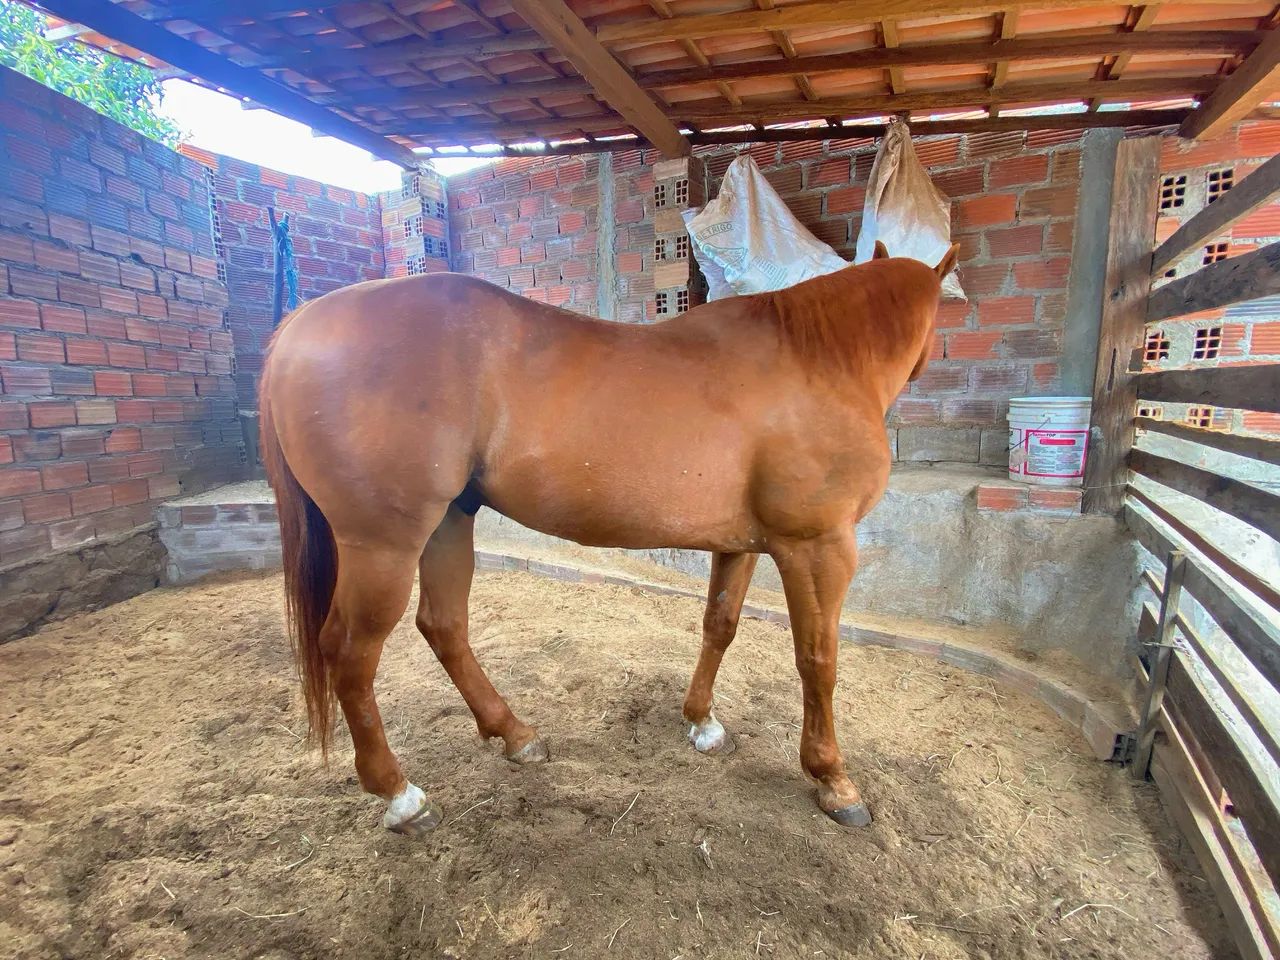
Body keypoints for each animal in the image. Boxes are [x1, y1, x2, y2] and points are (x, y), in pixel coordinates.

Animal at [259, 239, 959, 836]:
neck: (816, 359)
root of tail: (302, 323)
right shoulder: (818, 546)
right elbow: (819, 659)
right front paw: (833, 779)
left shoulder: (741, 545)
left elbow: (720, 626)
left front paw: (702, 723)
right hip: (383, 544)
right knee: (349, 653)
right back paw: (400, 795)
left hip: (448, 523)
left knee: (443, 627)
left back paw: (515, 735)